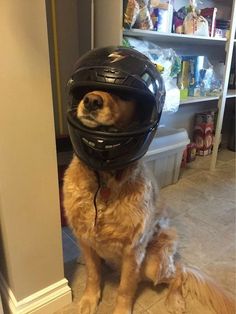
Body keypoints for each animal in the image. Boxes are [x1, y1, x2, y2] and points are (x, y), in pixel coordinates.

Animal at [63, 89, 235, 312]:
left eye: (124, 95)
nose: (91, 101)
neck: (104, 181)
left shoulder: (133, 250)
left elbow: (125, 288)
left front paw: (121, 310)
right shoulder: (86, 240)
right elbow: (93, 275)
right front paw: (89, 300)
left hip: (155, 265)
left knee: (179, 272)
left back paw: (175, 300)